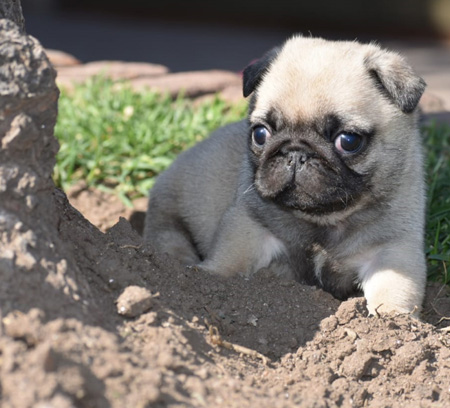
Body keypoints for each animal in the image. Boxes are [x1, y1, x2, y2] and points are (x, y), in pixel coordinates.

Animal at [143, 35, 426, 316]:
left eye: (348, 141)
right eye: (260, 134)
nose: (295, 154)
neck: (322, 221)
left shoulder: (392, 249)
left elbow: (393, 289)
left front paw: (392, 320)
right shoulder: (249, 227)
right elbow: (230, 258)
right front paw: (207, 277)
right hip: (167, 206)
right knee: (167, 233)